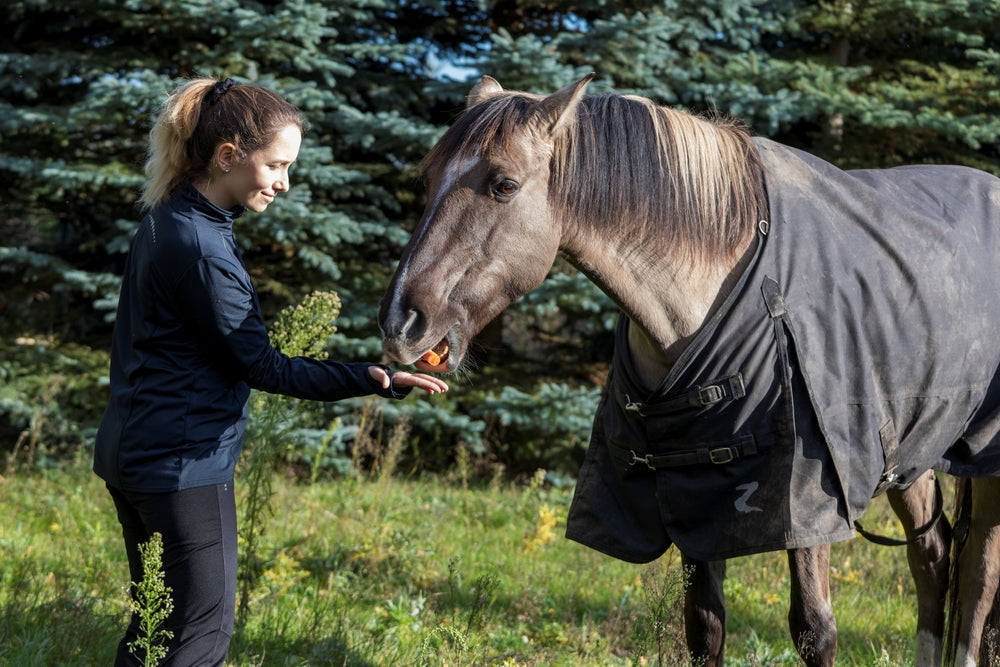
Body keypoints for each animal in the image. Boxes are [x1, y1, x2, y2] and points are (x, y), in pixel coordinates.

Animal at [377, 73, 1000, 666]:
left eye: (503, 185)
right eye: (427, 179)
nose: (400, 322)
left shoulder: (808, 502)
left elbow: (814, 631)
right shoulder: (695, 492)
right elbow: (704, 627)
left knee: (978, 574)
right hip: (910, 449)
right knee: (934, 555)